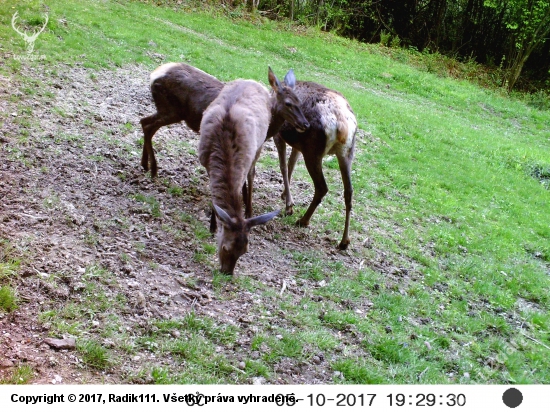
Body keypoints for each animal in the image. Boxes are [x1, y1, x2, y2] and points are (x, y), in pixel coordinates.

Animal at [198, 67, 310, 276]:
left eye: (245, 251)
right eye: (225, 247)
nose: (227, 273)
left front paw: (246, 210)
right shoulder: (206, 163)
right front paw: (213, 225)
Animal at [274, 79, 358, 249]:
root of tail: (343, 125)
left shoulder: (279, 134)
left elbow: (284, 166)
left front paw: (288, 205)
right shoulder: (298, 145)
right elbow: (291, 164)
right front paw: (285, 195)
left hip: (313, 150)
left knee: (322, 187)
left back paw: (303, 220)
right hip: (346, 152)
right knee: (349, 191)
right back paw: (344, 241)